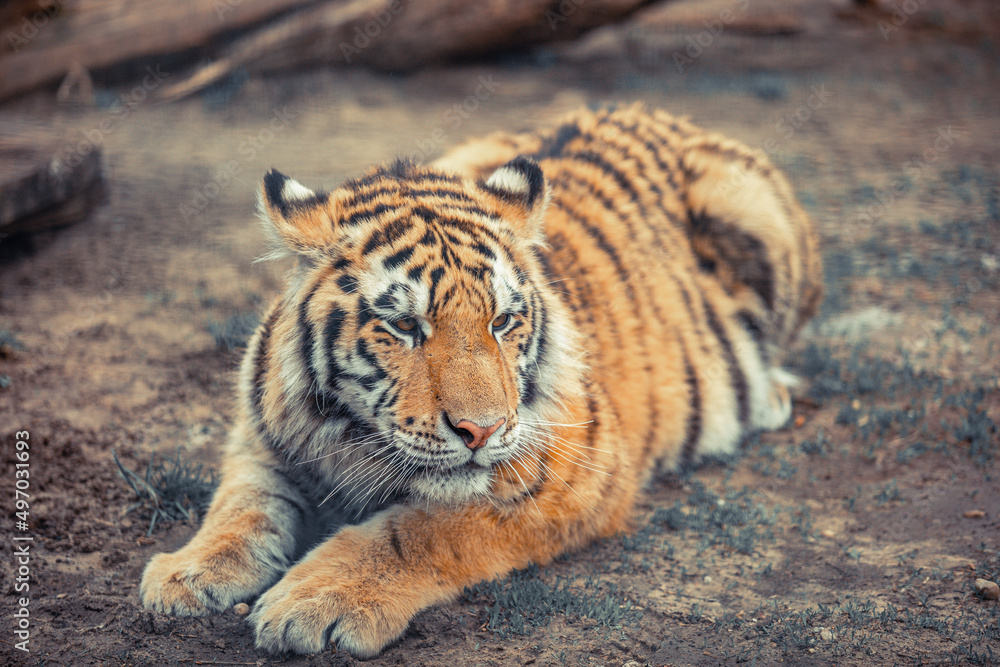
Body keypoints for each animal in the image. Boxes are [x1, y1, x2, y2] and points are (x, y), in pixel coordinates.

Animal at [140, 103, 822, 657]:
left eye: (502, 321)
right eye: (405, 325)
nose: (481, 430)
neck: (353, 440)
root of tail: (650, 109)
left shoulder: (575, 469)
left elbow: (420, 529)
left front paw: (314, 602)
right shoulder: (262, 436)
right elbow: (241, 504)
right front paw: (186, 574)